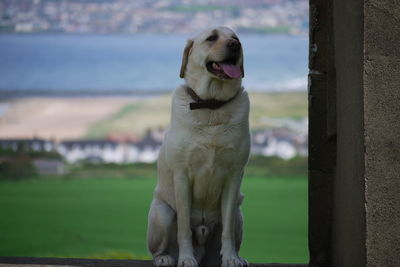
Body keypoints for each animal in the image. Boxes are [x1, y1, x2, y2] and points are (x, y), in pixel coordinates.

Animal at [147, 26, 250, 267]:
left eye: (236, 38)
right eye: (211, 37)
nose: (235, 45)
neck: (211, 105)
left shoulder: (233, 175)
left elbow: (227, 229)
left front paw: (231, 258)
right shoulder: (182, 176)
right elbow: (184, 227)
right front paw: (186, 259)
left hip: (239, 212)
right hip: (162, 213)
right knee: (159, 247)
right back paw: (165, 258)